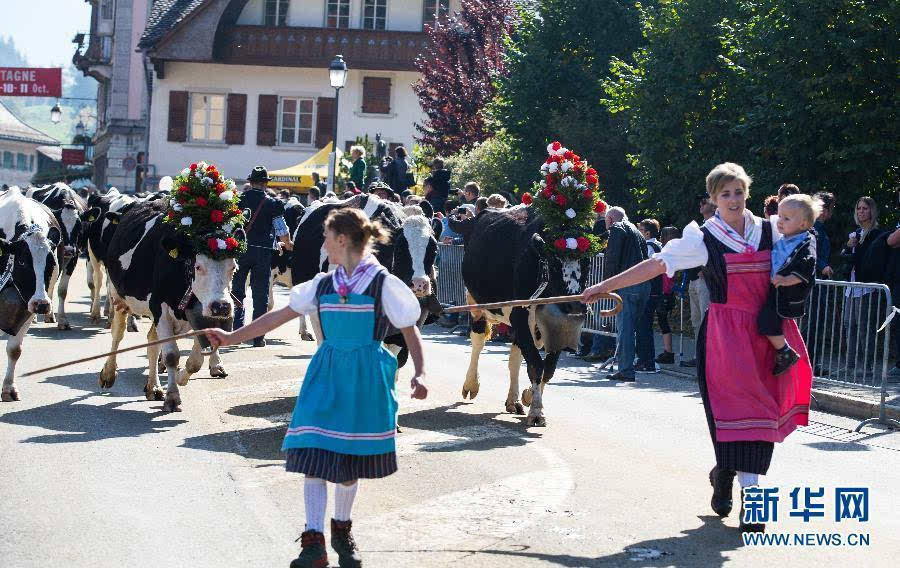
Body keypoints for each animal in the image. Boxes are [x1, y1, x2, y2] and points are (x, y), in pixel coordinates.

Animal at [0, 186, 62, 400]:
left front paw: (9, 388)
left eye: (52, 262)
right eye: (22, 261)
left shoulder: (27, 307)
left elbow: (14, 350)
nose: (42, 303)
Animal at [25, 183, 99, 328]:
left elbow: (62, 290)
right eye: (60, 224)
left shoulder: (73, 257)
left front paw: (63, 320)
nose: (68, 250)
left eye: (79, 226)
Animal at [101, 162, 246, 410]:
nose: (221, 307)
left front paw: (179, 379)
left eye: (234, 267)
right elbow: (171, 355)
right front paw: (172, 397)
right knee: (117, 335)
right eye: (198, 266)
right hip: (118, 297)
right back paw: (109, 374)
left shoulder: (197, 316)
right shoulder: (161, 307)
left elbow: (196, 359)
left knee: (151, 341)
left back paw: (153, 387)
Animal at [458, 207, 592, 426]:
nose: (575, 304)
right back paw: (471, 385)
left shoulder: (558, 325)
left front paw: (529, 396)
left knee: (515, 356)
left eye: (587, 261)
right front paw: (537, 411)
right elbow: (536, 364)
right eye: (553, 263)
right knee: (478, 341)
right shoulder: (520, 315)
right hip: (475, 303)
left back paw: (513, 400)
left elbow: (547, 367)